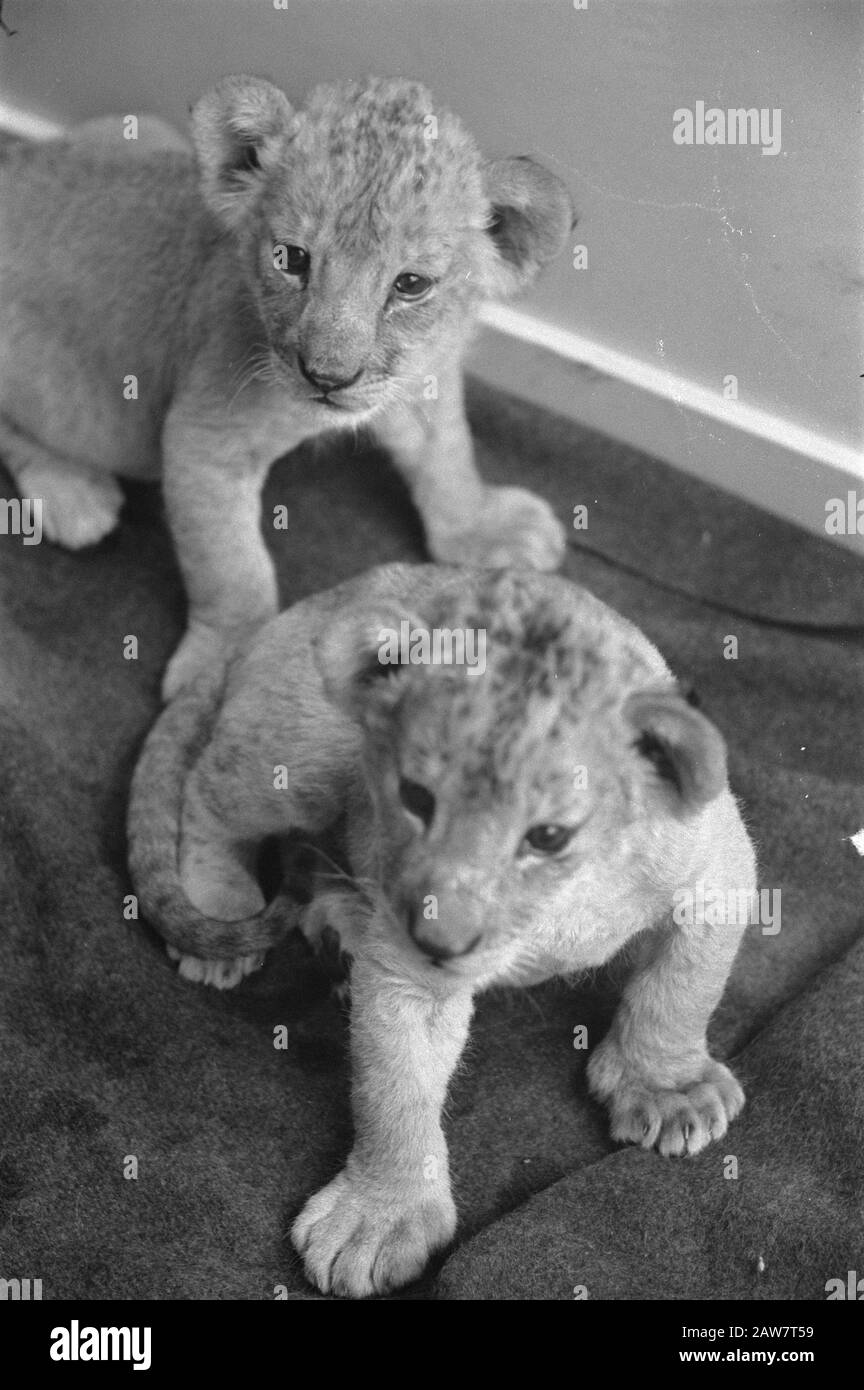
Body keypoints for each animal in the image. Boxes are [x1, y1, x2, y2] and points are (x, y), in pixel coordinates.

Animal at [0, 76, 573, 696]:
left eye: (411, 285)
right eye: (291, 258)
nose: (327, 376)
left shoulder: (420, 380)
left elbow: (448, 454)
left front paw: (484, 530)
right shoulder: (205, 437)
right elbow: (232, 569)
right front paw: (223, 673)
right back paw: (74, 494)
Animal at [127, 562, 756, 1298]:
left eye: (547, 836)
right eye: (415, 798)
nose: (439, 942)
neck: (556, 905)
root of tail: (312, 603)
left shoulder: (718, 866)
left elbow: (682, 990)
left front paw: (668, 1088)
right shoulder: (408, 967)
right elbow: (395, 1087)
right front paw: (378, 1219)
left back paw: (338, 934)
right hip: (306, 745)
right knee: (210, 792)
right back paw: (225, 906)